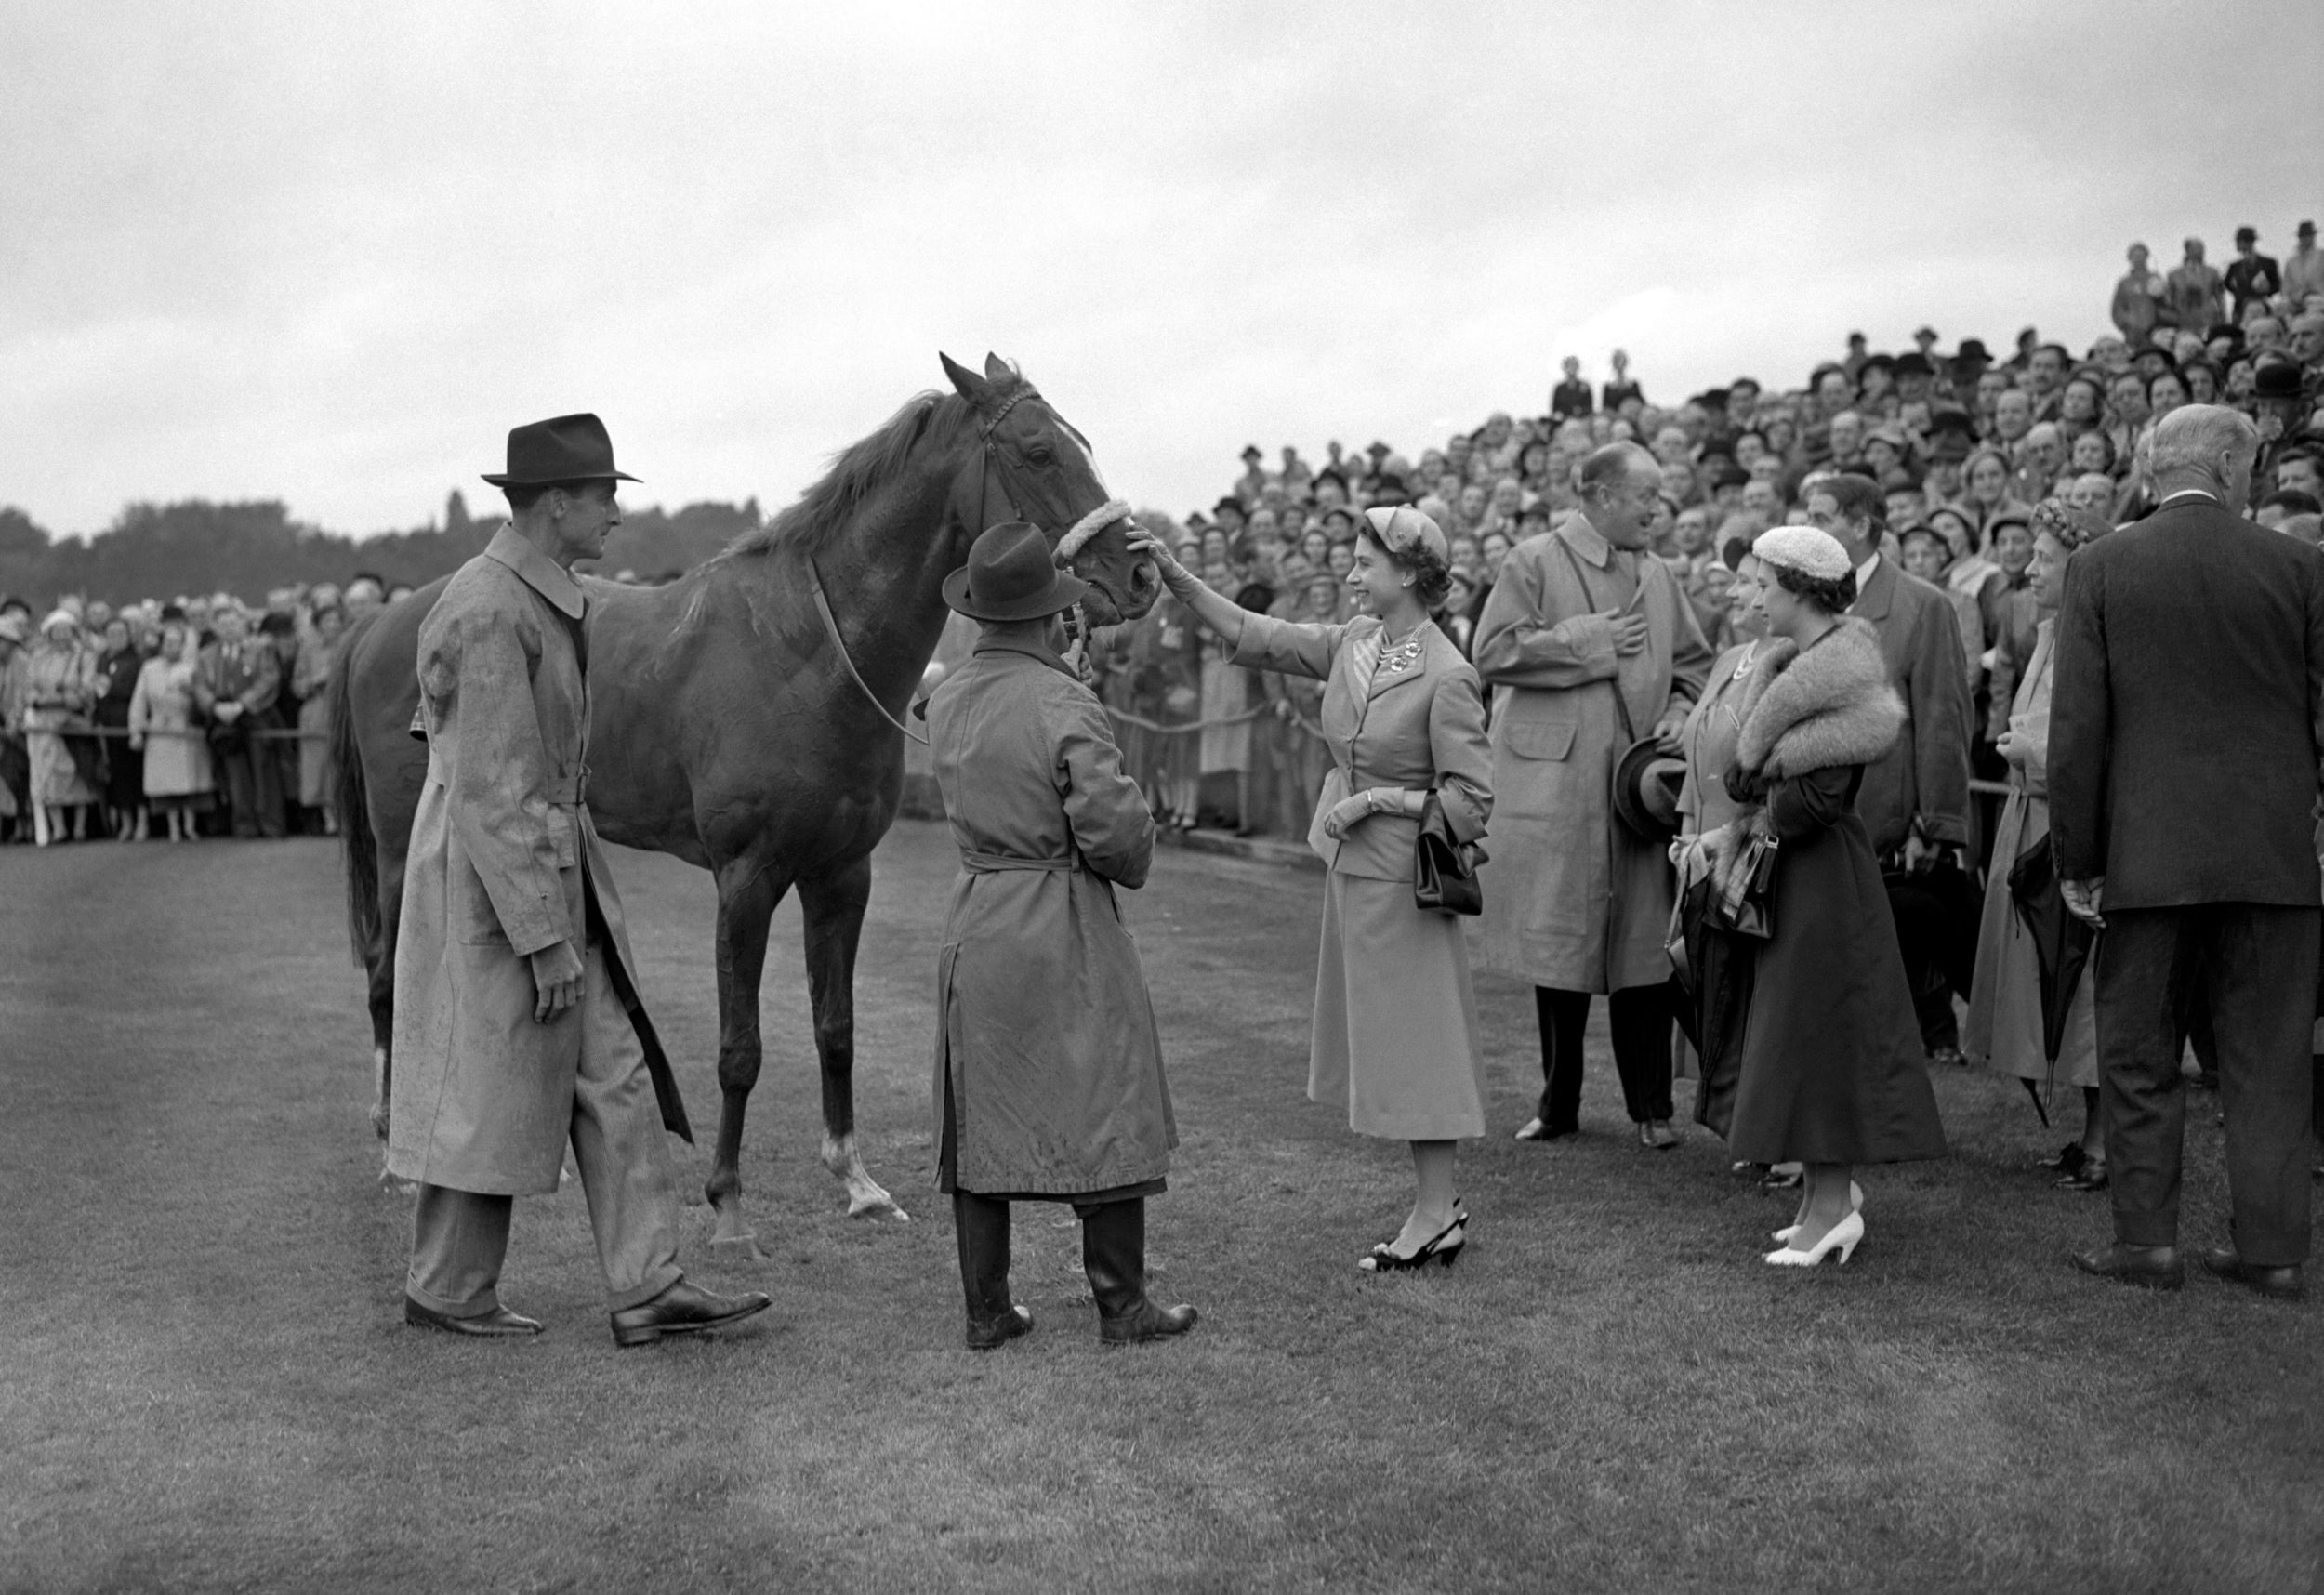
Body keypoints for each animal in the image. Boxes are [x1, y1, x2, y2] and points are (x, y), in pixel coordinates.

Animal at [327, 353, 1162, 1246]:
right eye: (1039, 452)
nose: (1142, 573)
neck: (804, 652)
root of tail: (382, 622)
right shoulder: (747, 879)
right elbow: (741, 1047)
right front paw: (726, 1200)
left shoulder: (842, 875)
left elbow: (836, 1028)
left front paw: (857, 1181)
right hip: (402, 844)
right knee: (385, 973)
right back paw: (396, 1152)